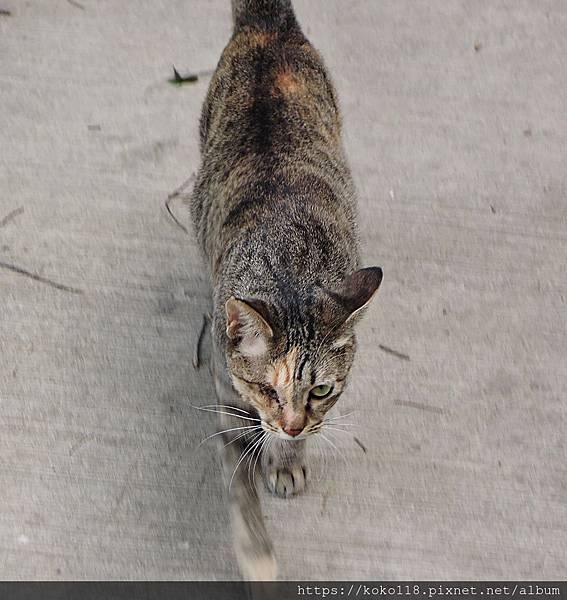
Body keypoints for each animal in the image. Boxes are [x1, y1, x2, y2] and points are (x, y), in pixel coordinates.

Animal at [190, 0, 382, 580]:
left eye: (320, 391)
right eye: (268, 391)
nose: (294, 429)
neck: (289, 268)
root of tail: (268, 23)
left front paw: (288, 459)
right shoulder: (226, 394)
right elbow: (241, 492)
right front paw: (256, 554)